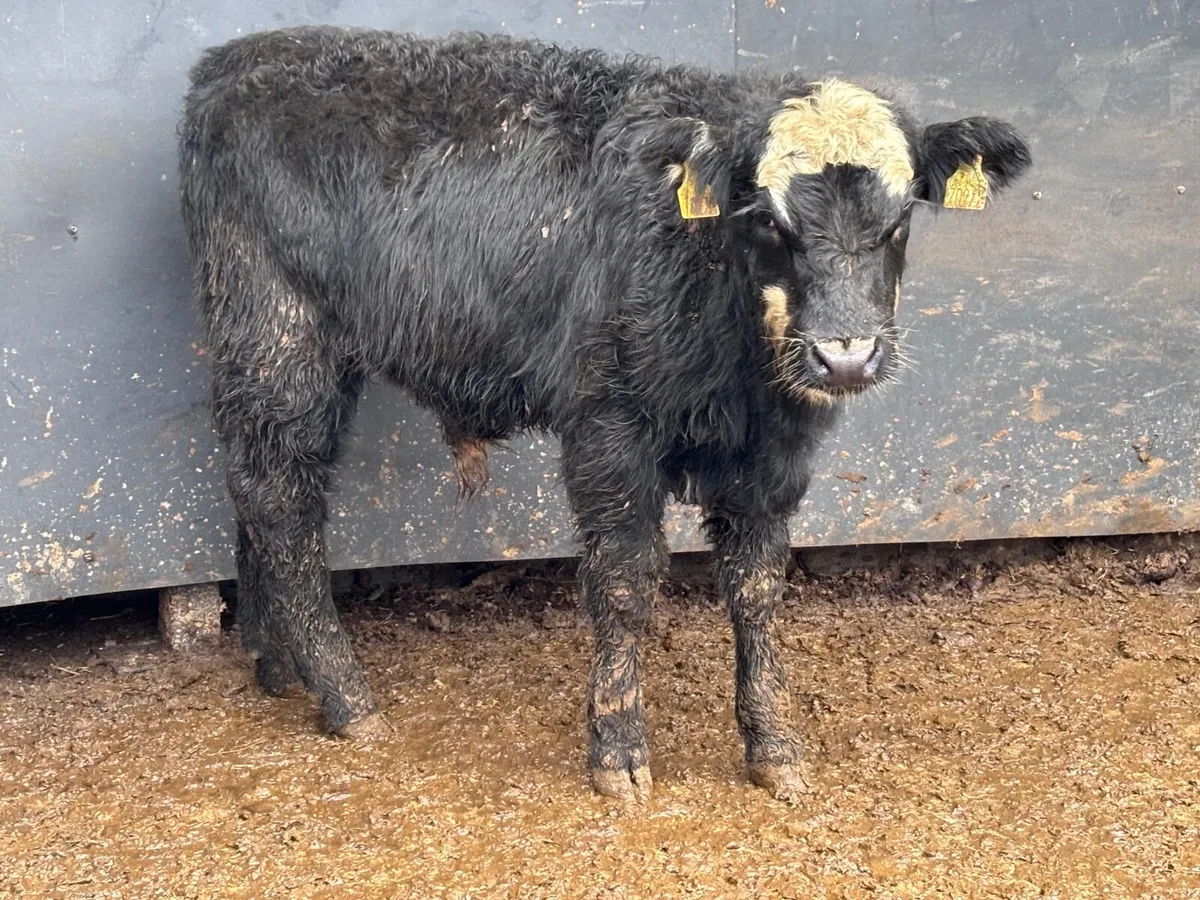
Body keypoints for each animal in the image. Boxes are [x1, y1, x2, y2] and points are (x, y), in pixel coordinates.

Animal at [178, 26, 1031, 801]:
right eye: (769, 218)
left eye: (899, 220)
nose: (846, 356)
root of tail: (235, 60)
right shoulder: (608, 426)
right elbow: (623, 580)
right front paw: (618, 751)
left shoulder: (775, 454)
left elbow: (757, 585)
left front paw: (774, 747)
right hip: (276, 336)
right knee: (281, 500)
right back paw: (345, 696)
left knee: (261, 496)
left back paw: (278, 665)